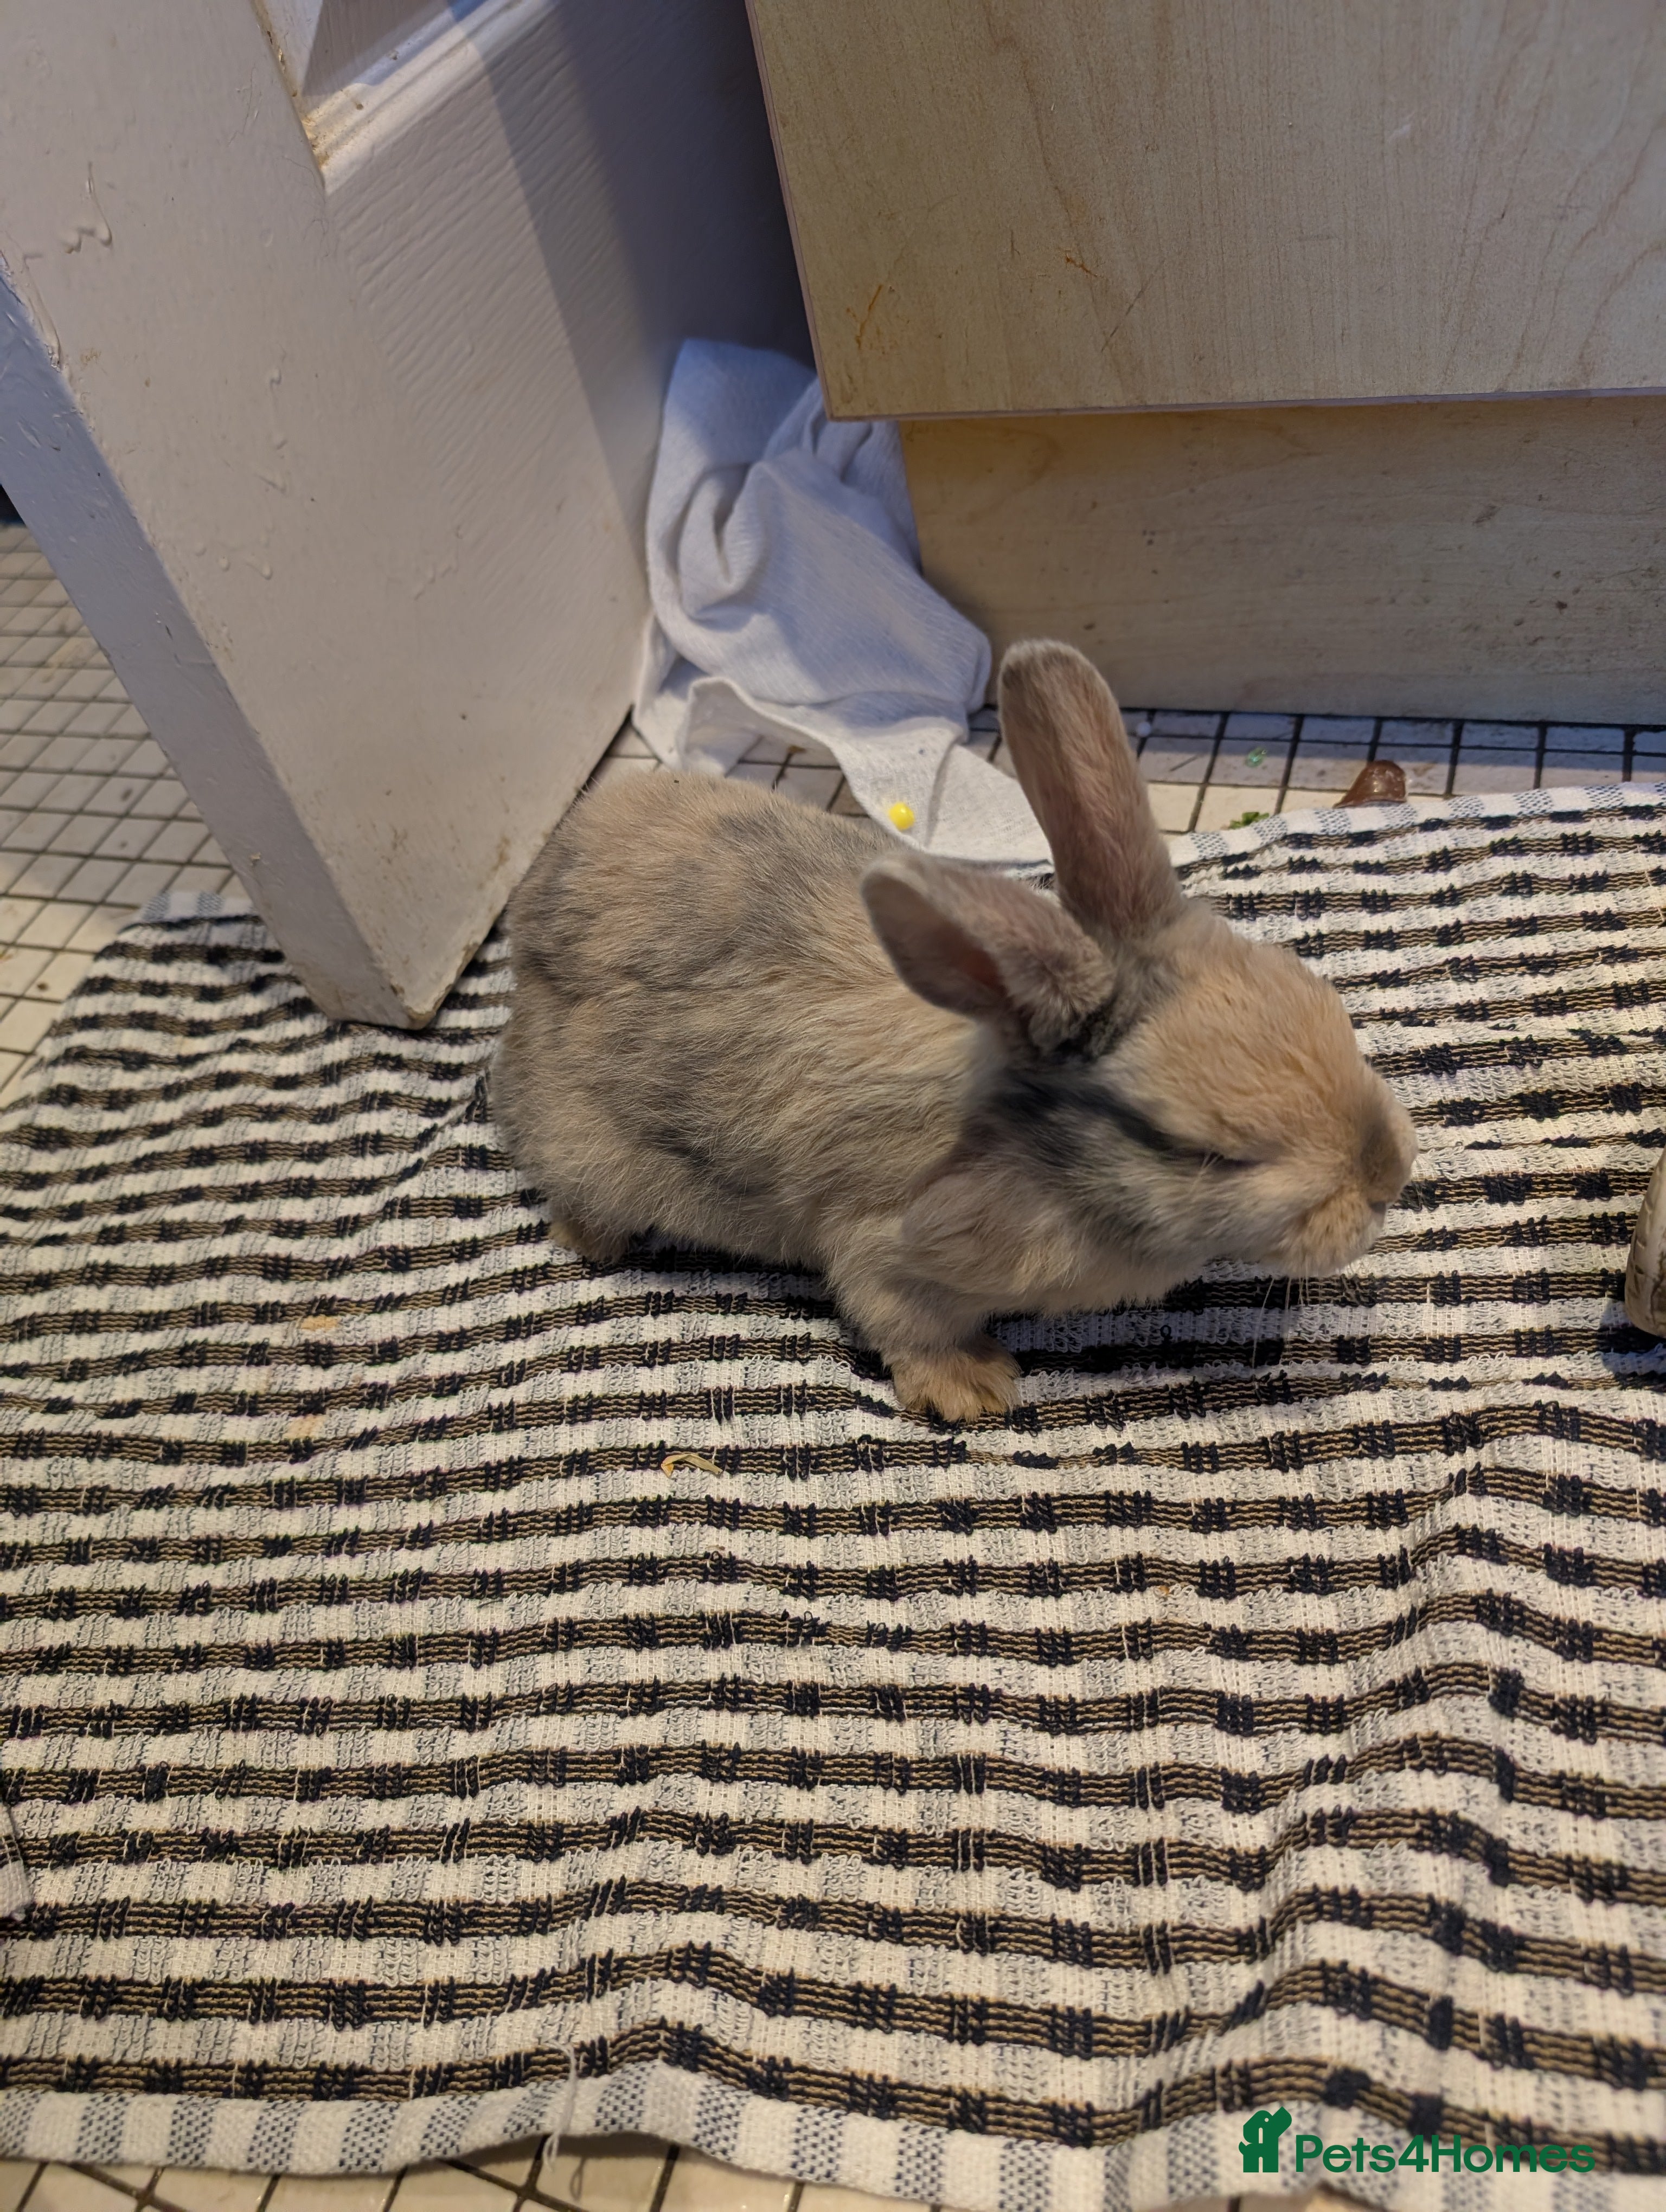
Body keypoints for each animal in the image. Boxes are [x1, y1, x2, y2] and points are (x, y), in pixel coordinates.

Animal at [493, 641, 1416, 1422]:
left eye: (1326, 1009)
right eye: (1209, 1154)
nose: (1388, 1178)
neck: (1038, 1158)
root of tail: (533, 903)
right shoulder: (883, 1256)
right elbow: (909, 1327)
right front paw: (973, 1391)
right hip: (591, 1152)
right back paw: (599, 1243)